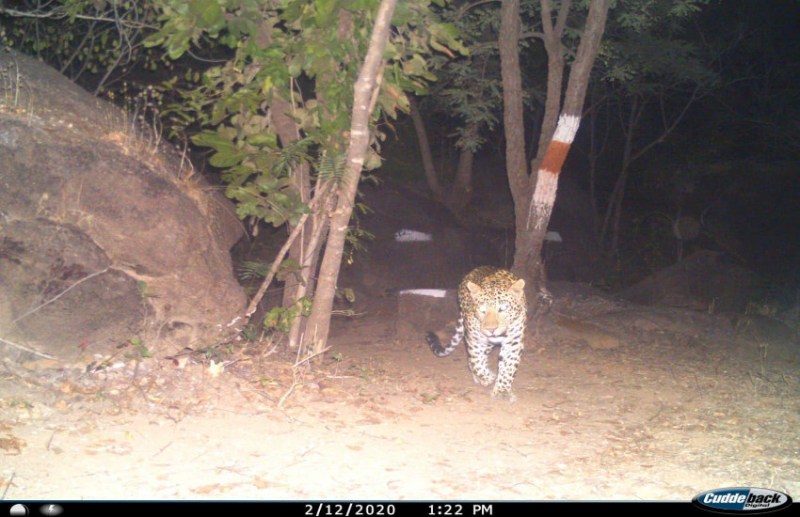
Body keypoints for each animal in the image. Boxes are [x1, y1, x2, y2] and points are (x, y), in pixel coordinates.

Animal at [426, 266, 527, 400]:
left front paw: (502, 391)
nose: (491, 329)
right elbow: (476, 362)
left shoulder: (513, 343)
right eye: (482, 310)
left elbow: (508, 367)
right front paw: (488, 378)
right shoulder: (475, 340)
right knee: (474, 360)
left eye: (503, 309)